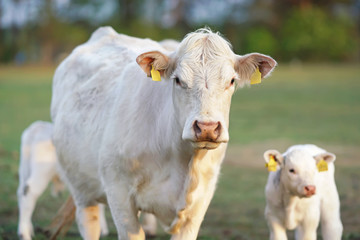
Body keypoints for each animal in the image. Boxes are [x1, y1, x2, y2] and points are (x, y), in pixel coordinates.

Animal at [50, 26, 276, 240]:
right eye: (178, 80)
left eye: (231, 81)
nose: (207, 127)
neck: (182, 161)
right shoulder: (119, 193)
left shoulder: (199, 203)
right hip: (81, 190)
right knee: (89, 222)